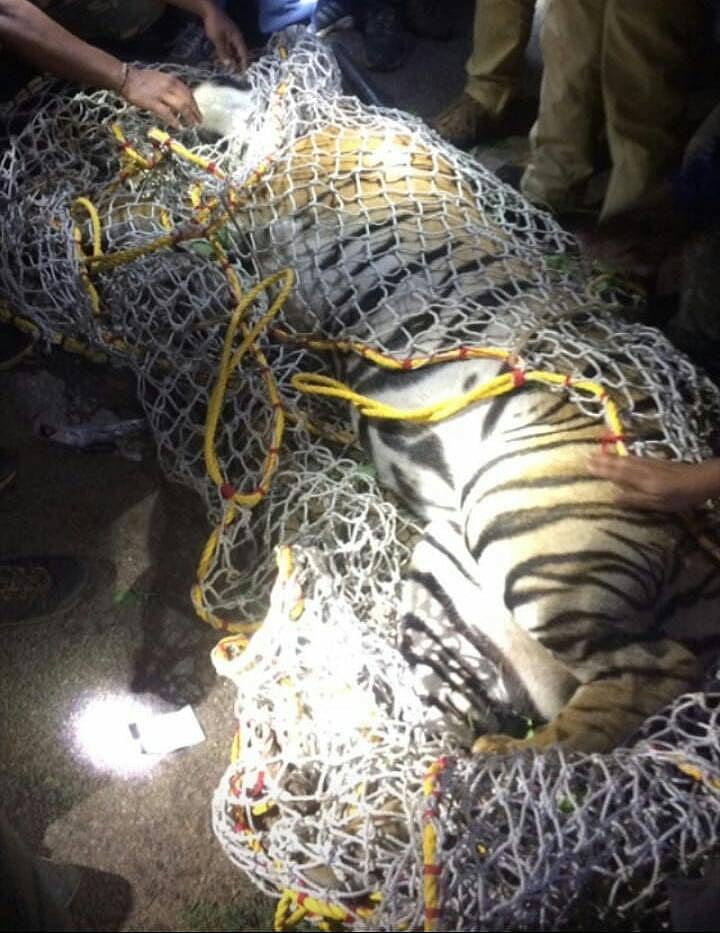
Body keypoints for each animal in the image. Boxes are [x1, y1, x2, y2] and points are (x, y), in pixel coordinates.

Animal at [193, 78, 720, 756]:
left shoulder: (272, 193)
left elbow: (243, 152)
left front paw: (206, 105)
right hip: (454, 589)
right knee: (448, 721)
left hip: (523, 526)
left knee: (651, 672)